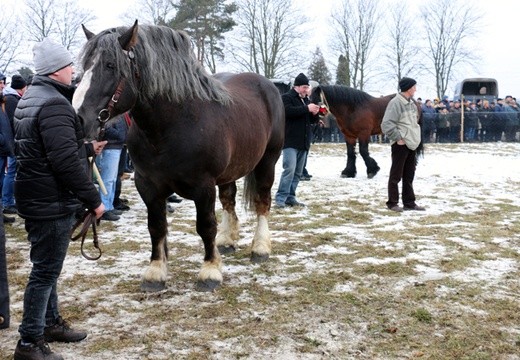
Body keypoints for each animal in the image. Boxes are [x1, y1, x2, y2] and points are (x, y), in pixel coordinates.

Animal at [72, 21, 284, 292]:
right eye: (85, 65)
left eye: (110, 65)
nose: (78, 118)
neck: (173, 124)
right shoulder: (148, 185)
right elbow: (156, 226)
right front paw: (155, 272)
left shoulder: (204, 186)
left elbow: (205, 226)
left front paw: (210, 271)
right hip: (230, 171)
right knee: (229, 200)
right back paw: (227, 241)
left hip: (268, 161)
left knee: (262, 201)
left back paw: (260, 248)